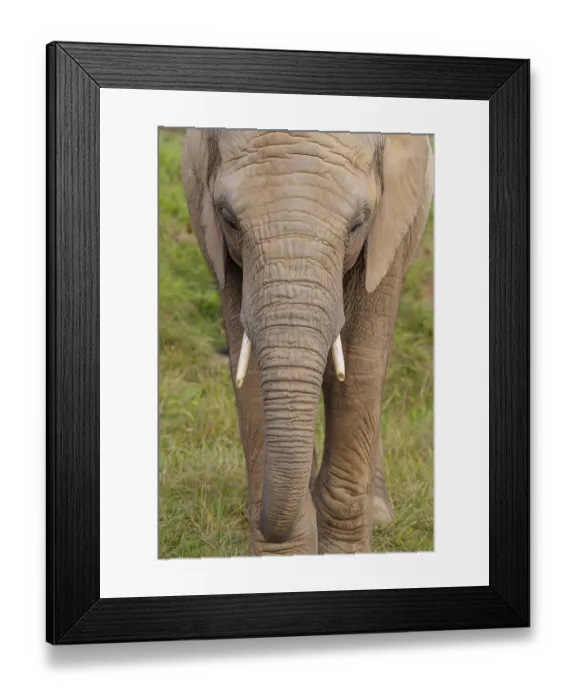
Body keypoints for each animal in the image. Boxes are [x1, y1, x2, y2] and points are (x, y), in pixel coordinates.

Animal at [181, 129, 434, 556]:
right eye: (229, 219)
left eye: (358, 222)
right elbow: (251, 377)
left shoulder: (389, 232)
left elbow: (360, 369)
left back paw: (379, 513)